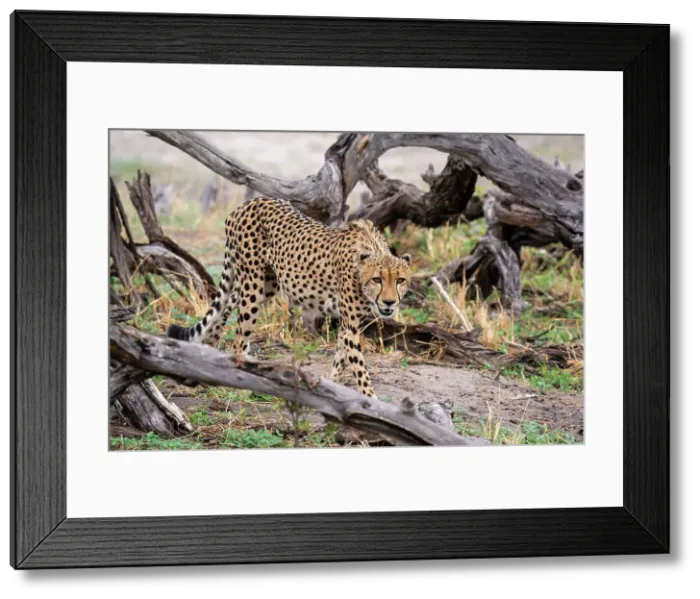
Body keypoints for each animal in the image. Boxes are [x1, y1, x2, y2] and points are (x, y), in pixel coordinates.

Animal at [167, 196, 413, 399]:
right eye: (377, 280)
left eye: (400, 280)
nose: (389, 302)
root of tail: (247, 203)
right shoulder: (350, 323)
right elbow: (359, 366)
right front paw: (371, 403)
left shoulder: (349, 323)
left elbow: (341, 357)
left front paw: (332, 386)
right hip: (253, 285)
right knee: (239, 336)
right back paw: (238, 380)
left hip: (267, 284)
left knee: (227, 303)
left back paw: (210, 347)